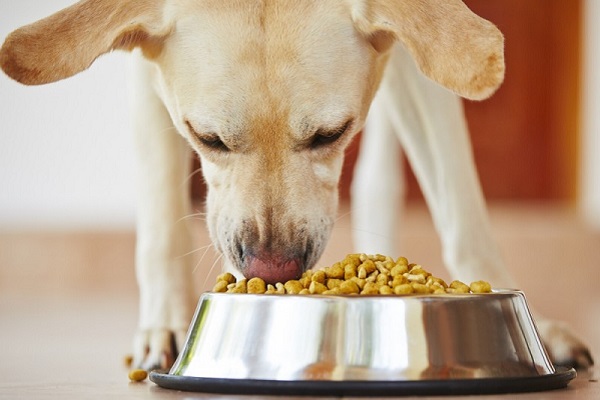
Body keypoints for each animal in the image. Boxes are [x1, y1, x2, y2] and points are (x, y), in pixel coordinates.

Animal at [0, 0, 592, 370]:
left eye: (332, 133)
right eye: (207, 137)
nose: (272, 271)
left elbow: (461, 206)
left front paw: (527, 320)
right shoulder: (148, 74)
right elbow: (161, 216)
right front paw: (164, 324)